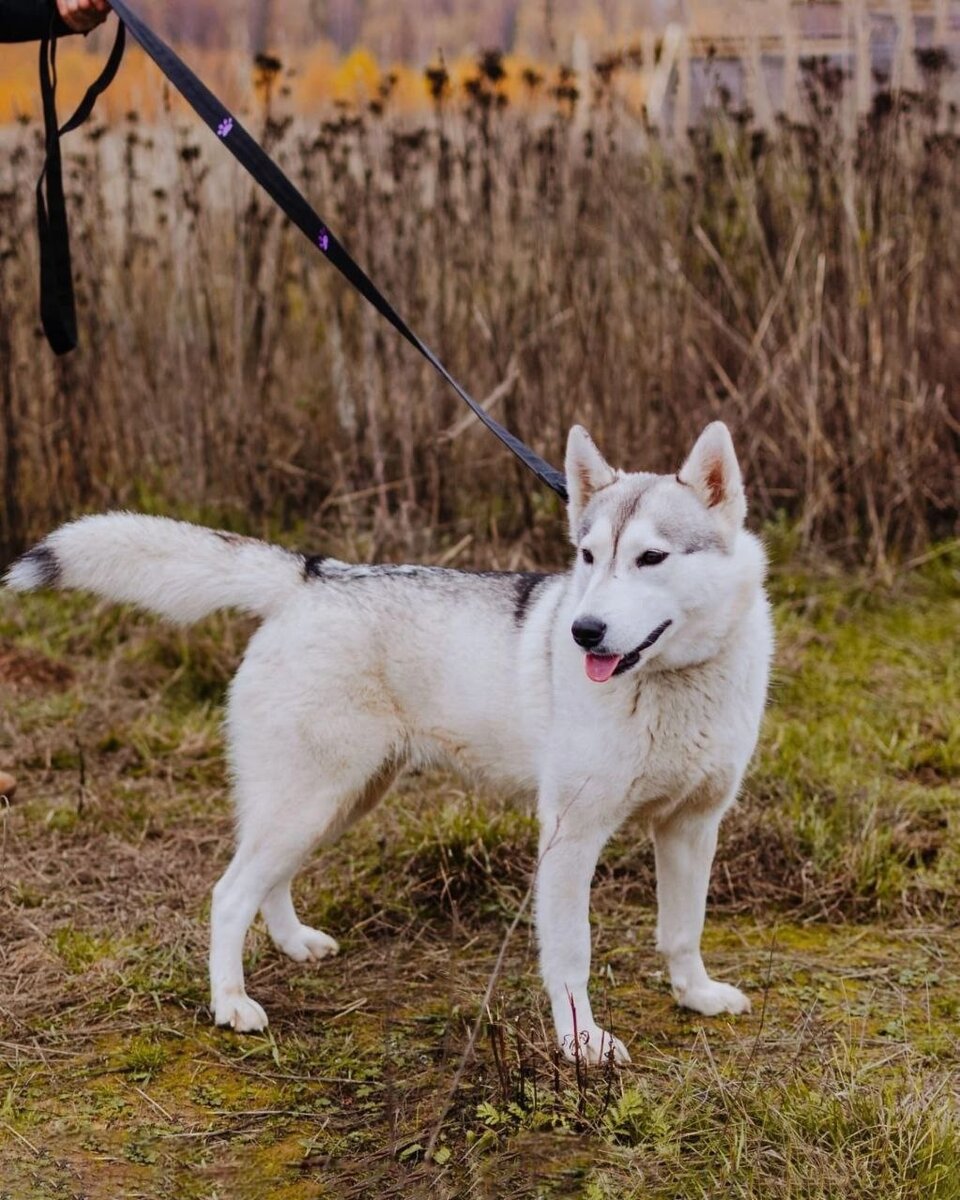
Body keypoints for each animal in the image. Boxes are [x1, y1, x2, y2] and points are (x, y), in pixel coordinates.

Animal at [5, 427, 772, 1065]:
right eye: (588, 557)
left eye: (650, 558)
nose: (584, 632)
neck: (674, 682)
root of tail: (313, 574)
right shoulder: (570, 835)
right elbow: (571, 956)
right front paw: (581, 1042)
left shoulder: (692, 828)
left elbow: (682, 931)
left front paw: (695, 996)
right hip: (312, 799)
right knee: (228, 893)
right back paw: (231, 1003)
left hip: (338, 800)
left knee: (267, 881)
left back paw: (293, 943)